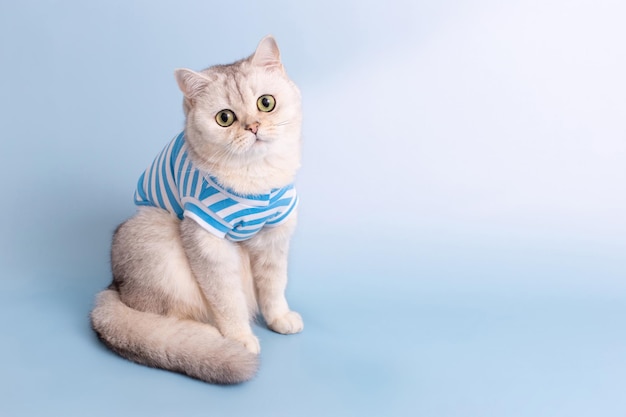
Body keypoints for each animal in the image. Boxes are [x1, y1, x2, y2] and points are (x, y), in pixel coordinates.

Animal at [89, 35, 302, 384]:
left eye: (266, 103)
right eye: (225, 118)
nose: (254, 127)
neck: (256, 179)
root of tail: (114, 287)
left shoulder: (275, 234)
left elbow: (274, 286)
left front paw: (279, 317)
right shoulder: (206, 239)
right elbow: (228, 300)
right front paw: (240, 338)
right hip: (156, 229)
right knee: (165, 318)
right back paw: (205, 339)